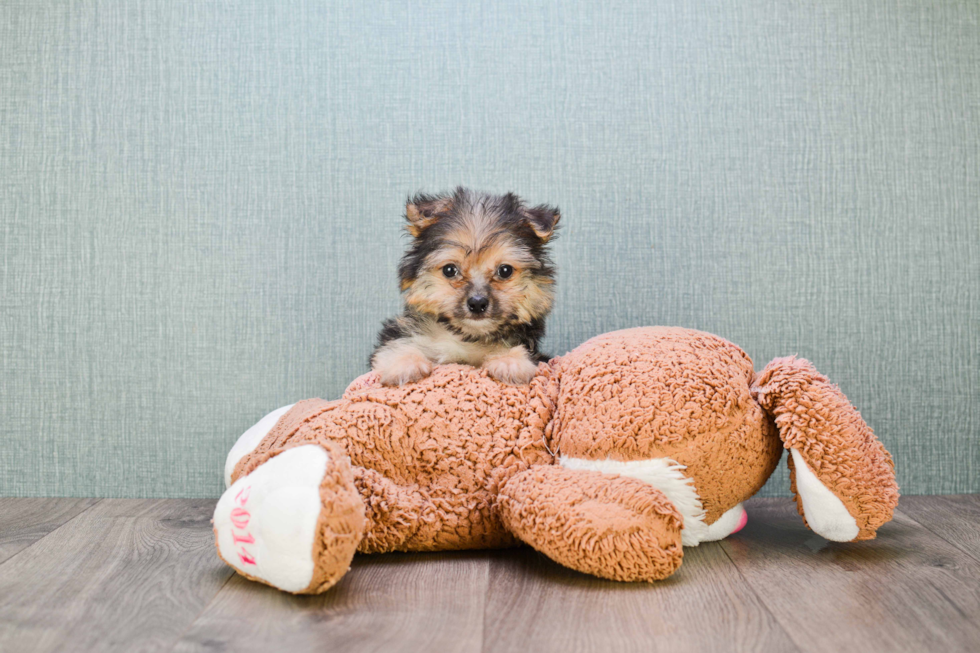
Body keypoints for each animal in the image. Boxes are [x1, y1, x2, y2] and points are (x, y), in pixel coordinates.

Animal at [372, 186, 564, 384]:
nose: (477, 303)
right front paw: (405, 364)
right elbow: (396, 346)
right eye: (449, 270)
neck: (467, 337)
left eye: (505, 271)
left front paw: (510, 361)